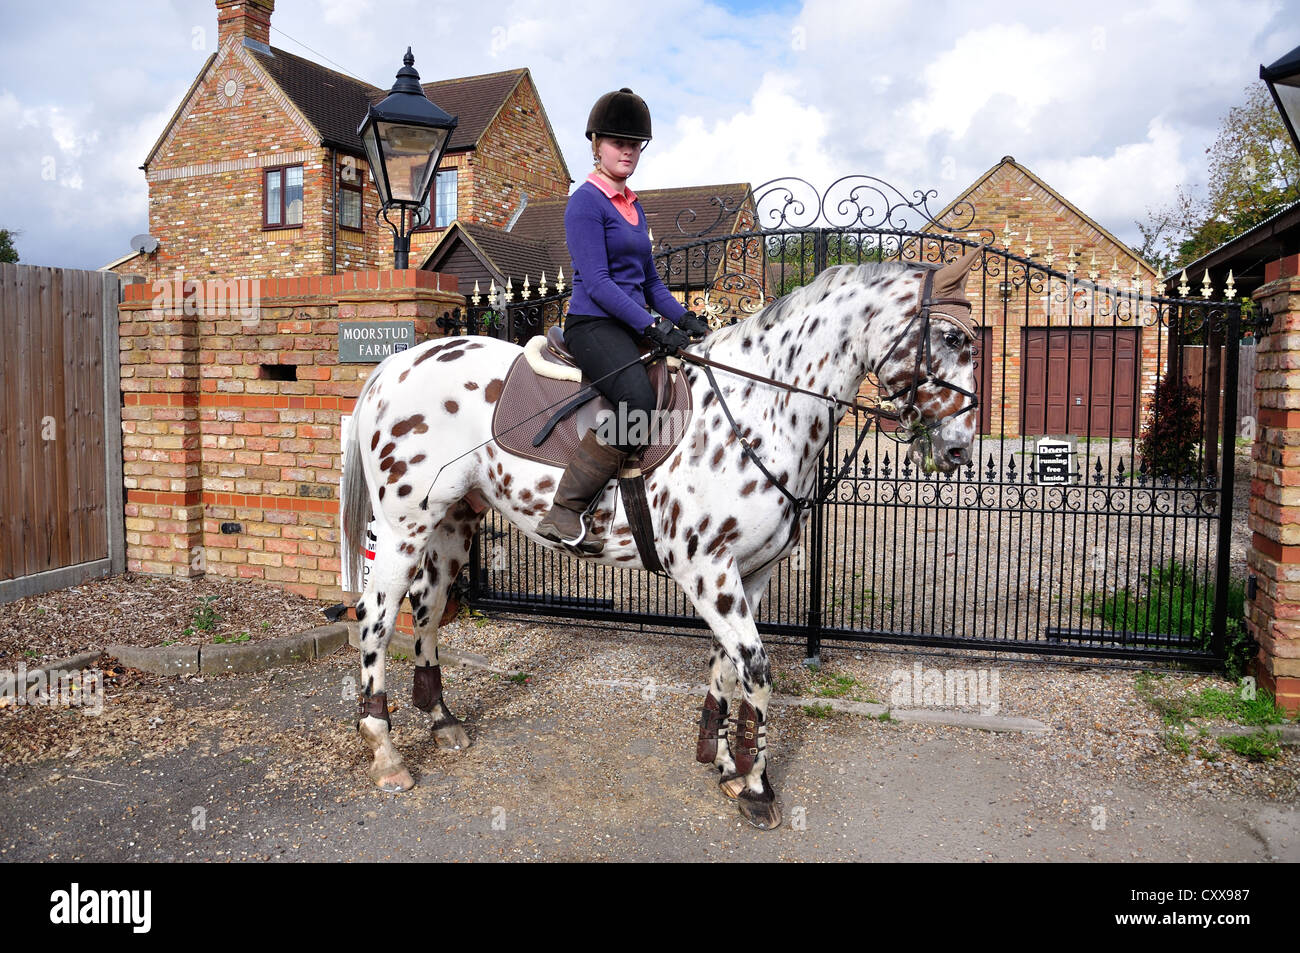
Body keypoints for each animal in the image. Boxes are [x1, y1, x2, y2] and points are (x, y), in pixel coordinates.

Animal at [340, 245, 977, 826]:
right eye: (952, 339)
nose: (958, 451)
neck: (759, 409)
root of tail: (397, 364)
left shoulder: (752, 573)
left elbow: (727, 669)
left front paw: (725, 765)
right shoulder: (708, 570)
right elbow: (757, 672)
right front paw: (757, 787)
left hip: (453, 522)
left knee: (427, 610)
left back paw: (442, 721)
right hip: (401, 529)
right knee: (376, 616)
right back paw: (386, 751)